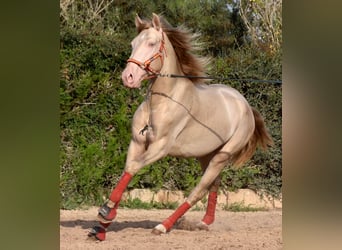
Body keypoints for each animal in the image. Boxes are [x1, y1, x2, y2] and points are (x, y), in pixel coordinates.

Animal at [89, 13, 272, 240]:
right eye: (133, 44)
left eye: (151, 43)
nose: (128, 77)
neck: (162, 102)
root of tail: (245, 104)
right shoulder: (137, 142)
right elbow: (127, 170)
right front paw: (101, 227)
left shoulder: (160, 147)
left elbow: (133, 167)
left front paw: (106, 212)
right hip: (206, 155)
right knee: (214, 185)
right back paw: (203, 223)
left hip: (222, 156)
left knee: (198, 191)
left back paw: (163, 226)